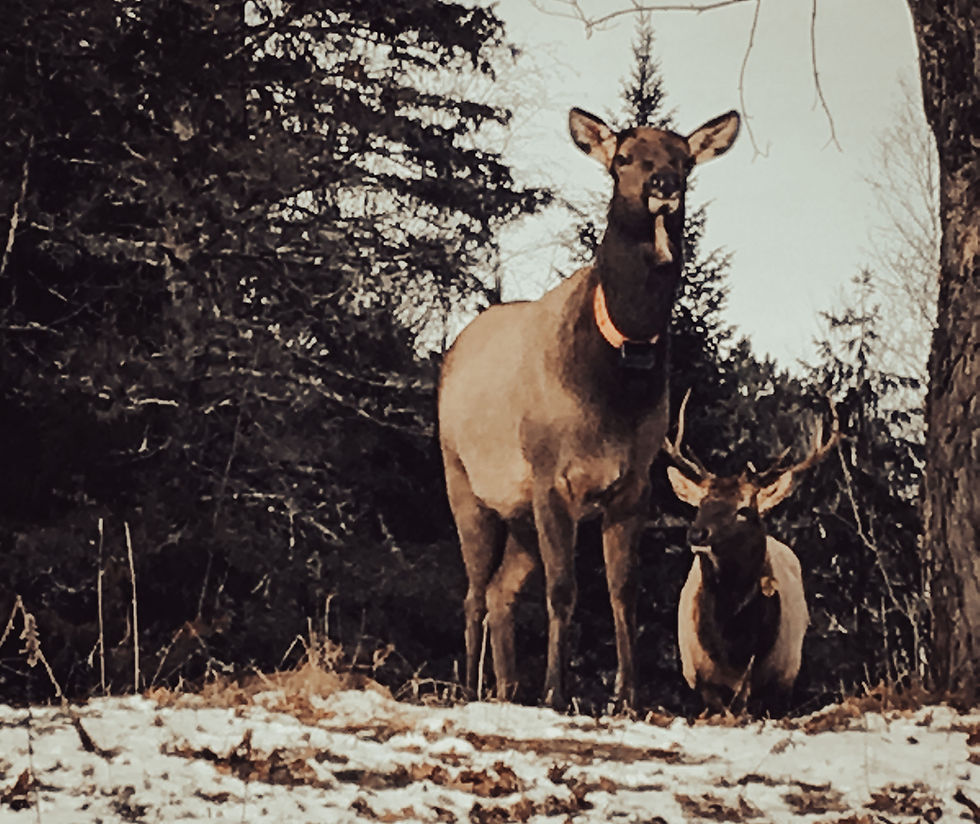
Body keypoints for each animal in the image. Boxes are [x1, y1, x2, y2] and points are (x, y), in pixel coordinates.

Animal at [437, 106, 740, 709]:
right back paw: (469, 689)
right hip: (464, 482)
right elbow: (563, 589)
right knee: (474, 592)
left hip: (519, 515)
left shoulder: (635, 482)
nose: (663, 185)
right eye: (623, 157)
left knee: (501, 591)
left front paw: (629, 696)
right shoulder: (550, 474)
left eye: (684, 159)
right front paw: (557, 691)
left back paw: (505, 690)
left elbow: (623, 590)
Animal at [663, 392, 840, 715]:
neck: (736, 648)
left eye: (744, 509)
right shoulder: (702, 678)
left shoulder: (780, 678)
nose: (697, 534)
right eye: (700, 504)